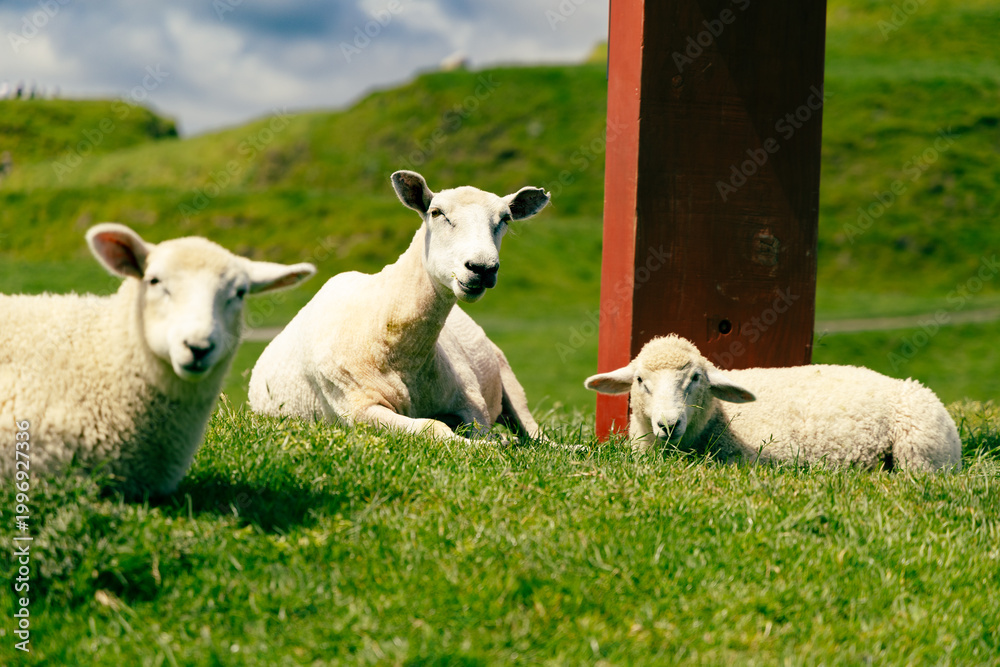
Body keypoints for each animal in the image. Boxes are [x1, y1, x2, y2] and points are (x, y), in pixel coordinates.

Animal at [249, 170, 550, 444]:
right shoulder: (358, 408)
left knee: (534, 432)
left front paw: (492, 443)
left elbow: (481, 429)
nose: (482, 268)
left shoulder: (471, 399)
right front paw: (483, 446)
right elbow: (435, 427)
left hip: (506, 375)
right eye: (437, 212)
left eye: (505, 219)